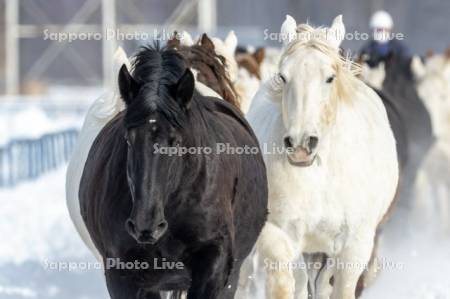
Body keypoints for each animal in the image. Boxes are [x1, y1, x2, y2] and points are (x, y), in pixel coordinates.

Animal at [246, 15, 398, 298]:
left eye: (330, 77)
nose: (300, 144)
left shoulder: (354, 246)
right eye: (283, 76)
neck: (320, 174)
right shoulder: (282, 234)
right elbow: (291, 283)